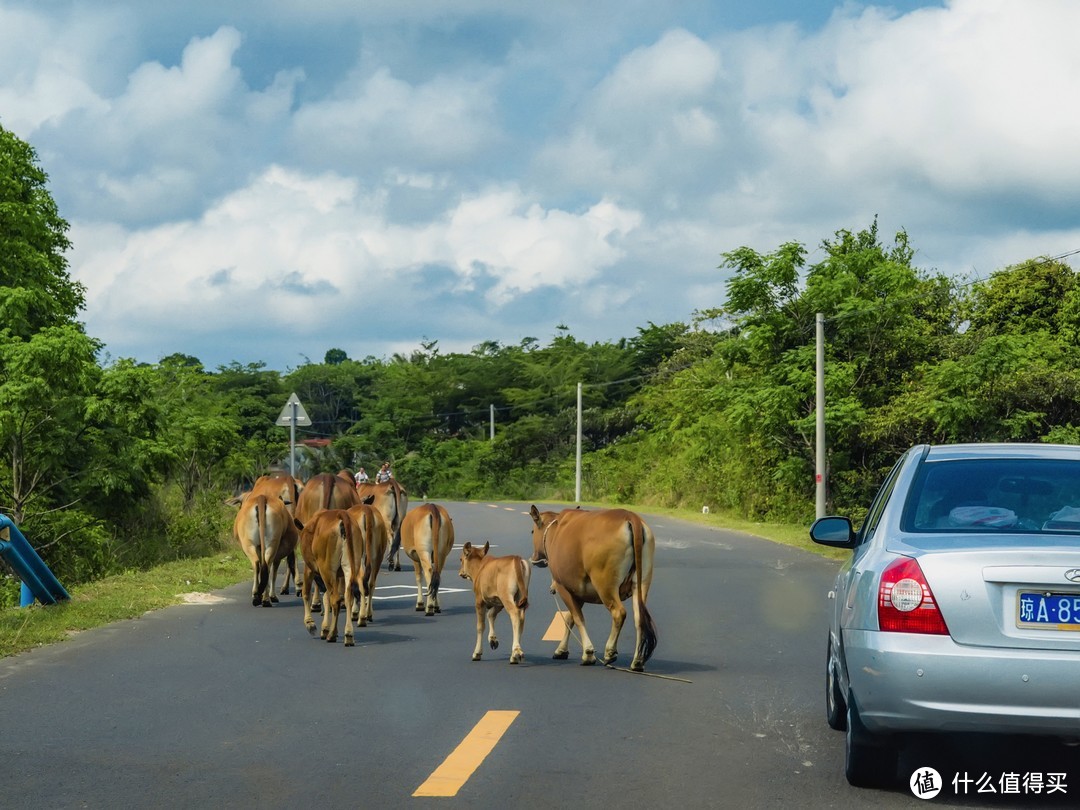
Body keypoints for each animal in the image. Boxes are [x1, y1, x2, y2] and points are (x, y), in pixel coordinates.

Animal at [298, 507, 365, 648]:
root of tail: (341, 514)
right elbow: (326, 597)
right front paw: (325, 628)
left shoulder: (309, 568)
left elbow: (306, 593)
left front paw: (310, 624)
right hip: (350, 566)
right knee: (348, 597)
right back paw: (348, 633)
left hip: (327, 570)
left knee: (336, 599)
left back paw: (333, 634)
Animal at [524, 507, 652, 673]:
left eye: (532, 532)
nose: (534, 558)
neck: (556, 529)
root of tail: (630, 516)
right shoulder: (578, 592)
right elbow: (570, 618)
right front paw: (561, 650)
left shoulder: (563, 587)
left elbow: (577, 618)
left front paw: (588, 653)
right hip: (642, 583)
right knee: (639, 618)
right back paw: (637, 661)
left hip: (605, 586)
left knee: (619, 613)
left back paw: (610, 652)